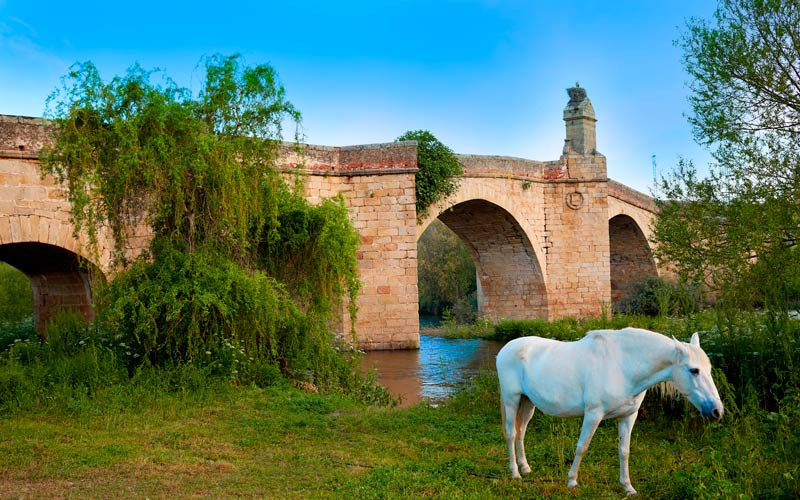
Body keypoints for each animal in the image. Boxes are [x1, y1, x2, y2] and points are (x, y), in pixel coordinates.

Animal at [494, 328, 724, 496]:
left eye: (709, 369)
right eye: (694, 370)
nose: (717, 411)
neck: (623, 365)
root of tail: (505, 349)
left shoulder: (628, 417)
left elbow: (624, 451)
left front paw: (628, 487)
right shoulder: (593, 414)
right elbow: (582, 447)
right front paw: (572, 481)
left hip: (527, 403)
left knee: (521, 433)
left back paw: (525, 468)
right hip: (512, 400)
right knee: (511, 434)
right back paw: (515, 473)